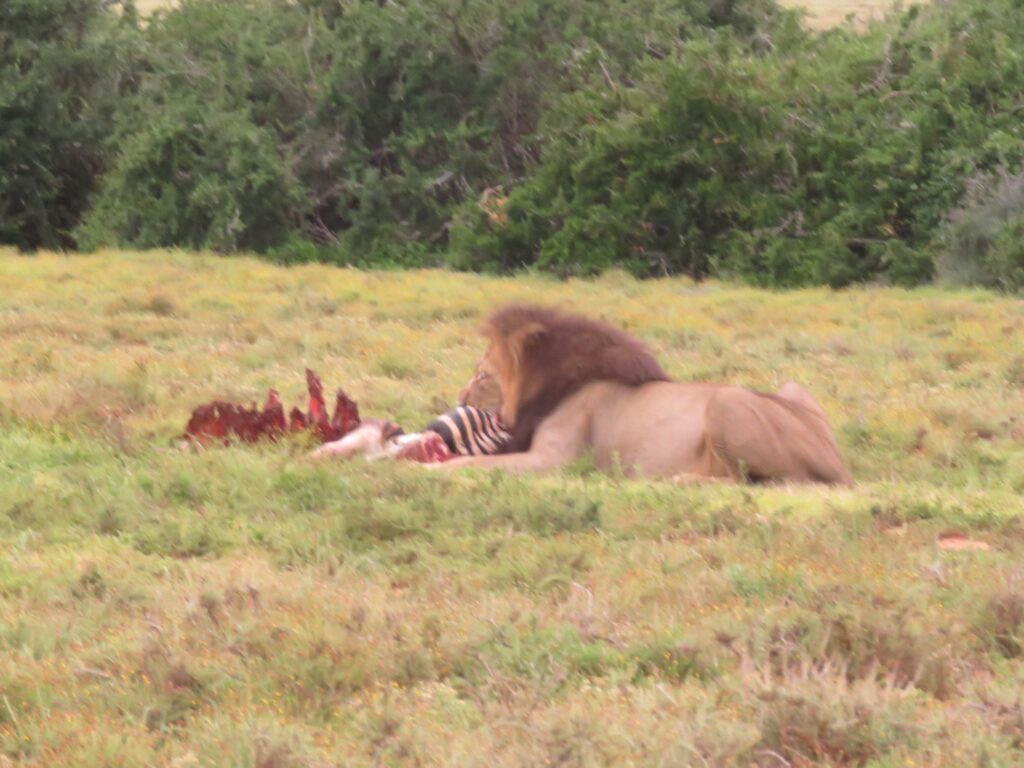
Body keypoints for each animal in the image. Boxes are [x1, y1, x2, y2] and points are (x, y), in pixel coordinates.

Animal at [434, 303, 856, 483]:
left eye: (483, 376)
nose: (459, 398)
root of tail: (836, 462)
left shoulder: (555, 461)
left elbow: (470, 464)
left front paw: (425, 468)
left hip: (726, 401)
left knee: (761, 481)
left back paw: (682, 480)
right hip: (792, 388)